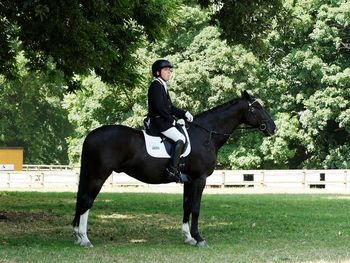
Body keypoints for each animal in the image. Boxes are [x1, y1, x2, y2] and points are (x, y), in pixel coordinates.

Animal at [73, 90, 276, 248]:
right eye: (256, 108)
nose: (273, 128)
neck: (205, 134)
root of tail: (91, 135)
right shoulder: (200, 178)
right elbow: (196, 207)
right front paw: (199, 238)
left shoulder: (189, 180)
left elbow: (186, 205)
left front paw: (188, 237)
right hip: (98, 175)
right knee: (86, 201)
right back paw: (84, 239)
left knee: (82, 200)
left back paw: (78, 236)